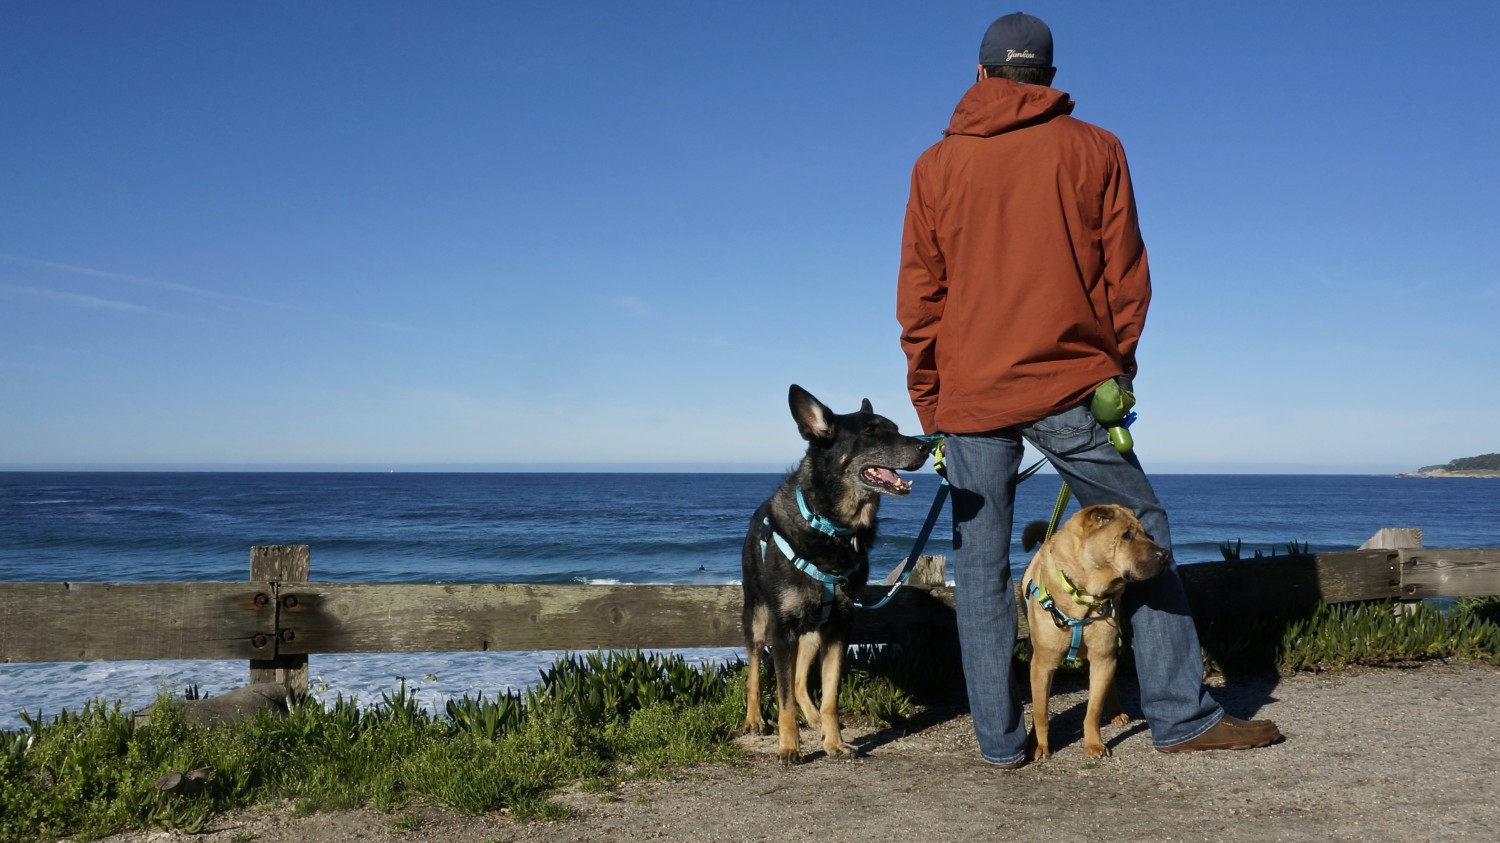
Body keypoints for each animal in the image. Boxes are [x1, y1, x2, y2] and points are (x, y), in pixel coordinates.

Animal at [738, 387, 924, 762]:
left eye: (895, 428)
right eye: (871, 431)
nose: (926, 447)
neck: (832, 527)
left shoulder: (839, 627)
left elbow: (830, 696)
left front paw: (833, 741)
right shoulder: (782, 630)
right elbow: (782, 697)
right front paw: (789, 746)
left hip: (813, 632)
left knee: (798, 682)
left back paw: (812, 719)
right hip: (758, 619)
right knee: (755, 673)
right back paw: (755, 720)